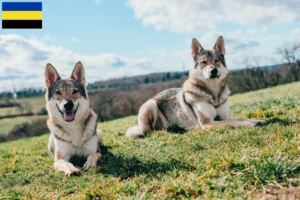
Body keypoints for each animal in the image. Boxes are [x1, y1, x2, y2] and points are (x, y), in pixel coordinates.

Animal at [126, 36, 264, 138]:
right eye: (204, 62)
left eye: (216, 61)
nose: (213, 71)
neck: (213, 94)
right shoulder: (207, 122)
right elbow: (232, 122)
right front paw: (249, 124)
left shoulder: (224, 116)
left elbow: (240, 117)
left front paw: (256, 120)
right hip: (150, 104)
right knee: (153, 130)